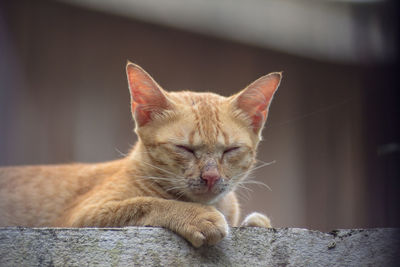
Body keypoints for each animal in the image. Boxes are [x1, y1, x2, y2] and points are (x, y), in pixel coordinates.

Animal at [0, 61, 282, 248]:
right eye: (185, 148)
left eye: (230, 150)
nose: (211, 177)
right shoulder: (82, 216)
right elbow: (144, 203)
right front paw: (197, 216)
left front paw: (257, 223)